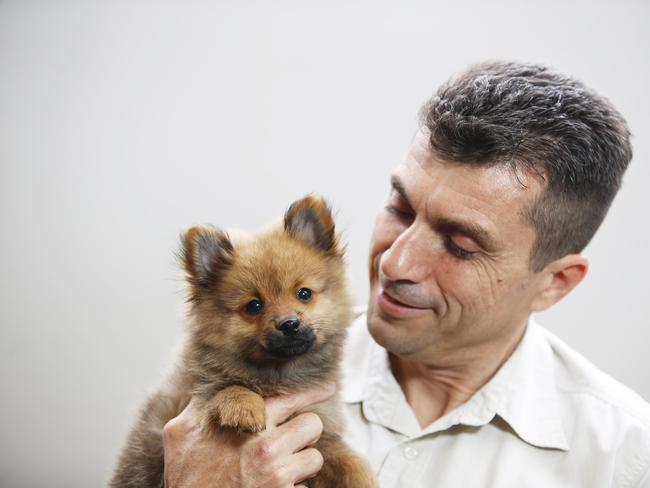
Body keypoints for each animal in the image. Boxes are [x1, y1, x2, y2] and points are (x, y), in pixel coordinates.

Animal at [109, 195, 374, 488]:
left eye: (304, 294)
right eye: (254, 306)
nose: (289, 324)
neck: (278, 376)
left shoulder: (319, 434)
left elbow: (351, 463)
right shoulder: (194, 392)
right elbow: (227, 386)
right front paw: (242, 407)